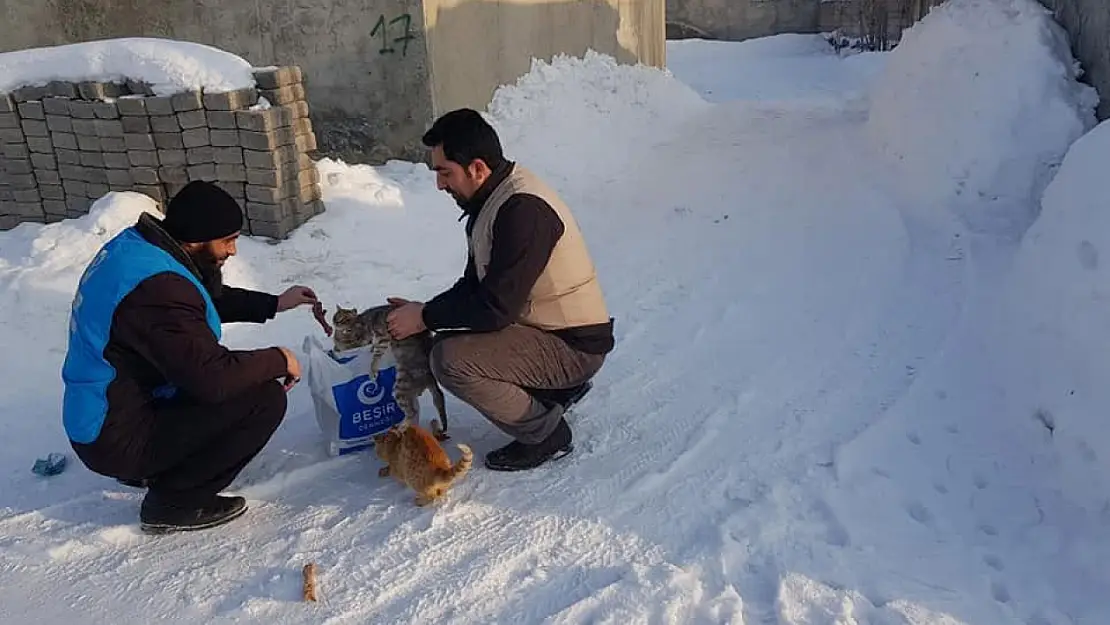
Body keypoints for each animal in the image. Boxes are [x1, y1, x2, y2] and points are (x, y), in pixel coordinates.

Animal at [330, 304, 448, 439]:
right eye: (335, 317)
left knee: (412, 412)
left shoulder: (382, 338)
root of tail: (431, 378)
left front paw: (372, 369)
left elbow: (375, 356)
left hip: (400, 388)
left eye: (344, 319)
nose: (336, 323)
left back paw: (401, 428)